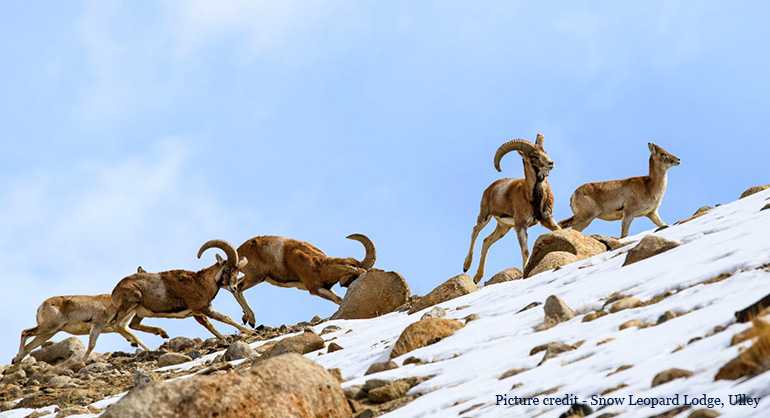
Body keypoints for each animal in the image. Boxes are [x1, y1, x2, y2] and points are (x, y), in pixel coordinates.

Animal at [228, 233, 376, 328]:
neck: (319, 265)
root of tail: (239, 251)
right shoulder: (315, 289)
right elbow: (338, 299)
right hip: (256, 277)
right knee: (238, 288)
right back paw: (252, 320)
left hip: (256, 278)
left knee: (236, 286)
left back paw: (246, 319)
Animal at [462, 135, 560, 284]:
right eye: (534, 156)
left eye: (545, 151)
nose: (550, 163)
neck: (532, 196)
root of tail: (490, 188)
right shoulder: (520, 226)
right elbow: (525, 251)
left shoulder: (547, 220)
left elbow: (559, 230)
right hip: (485, 216)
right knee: (475, 231)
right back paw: (466, 266)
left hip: (503, 228)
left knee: (486, 241)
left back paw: (477, 277)